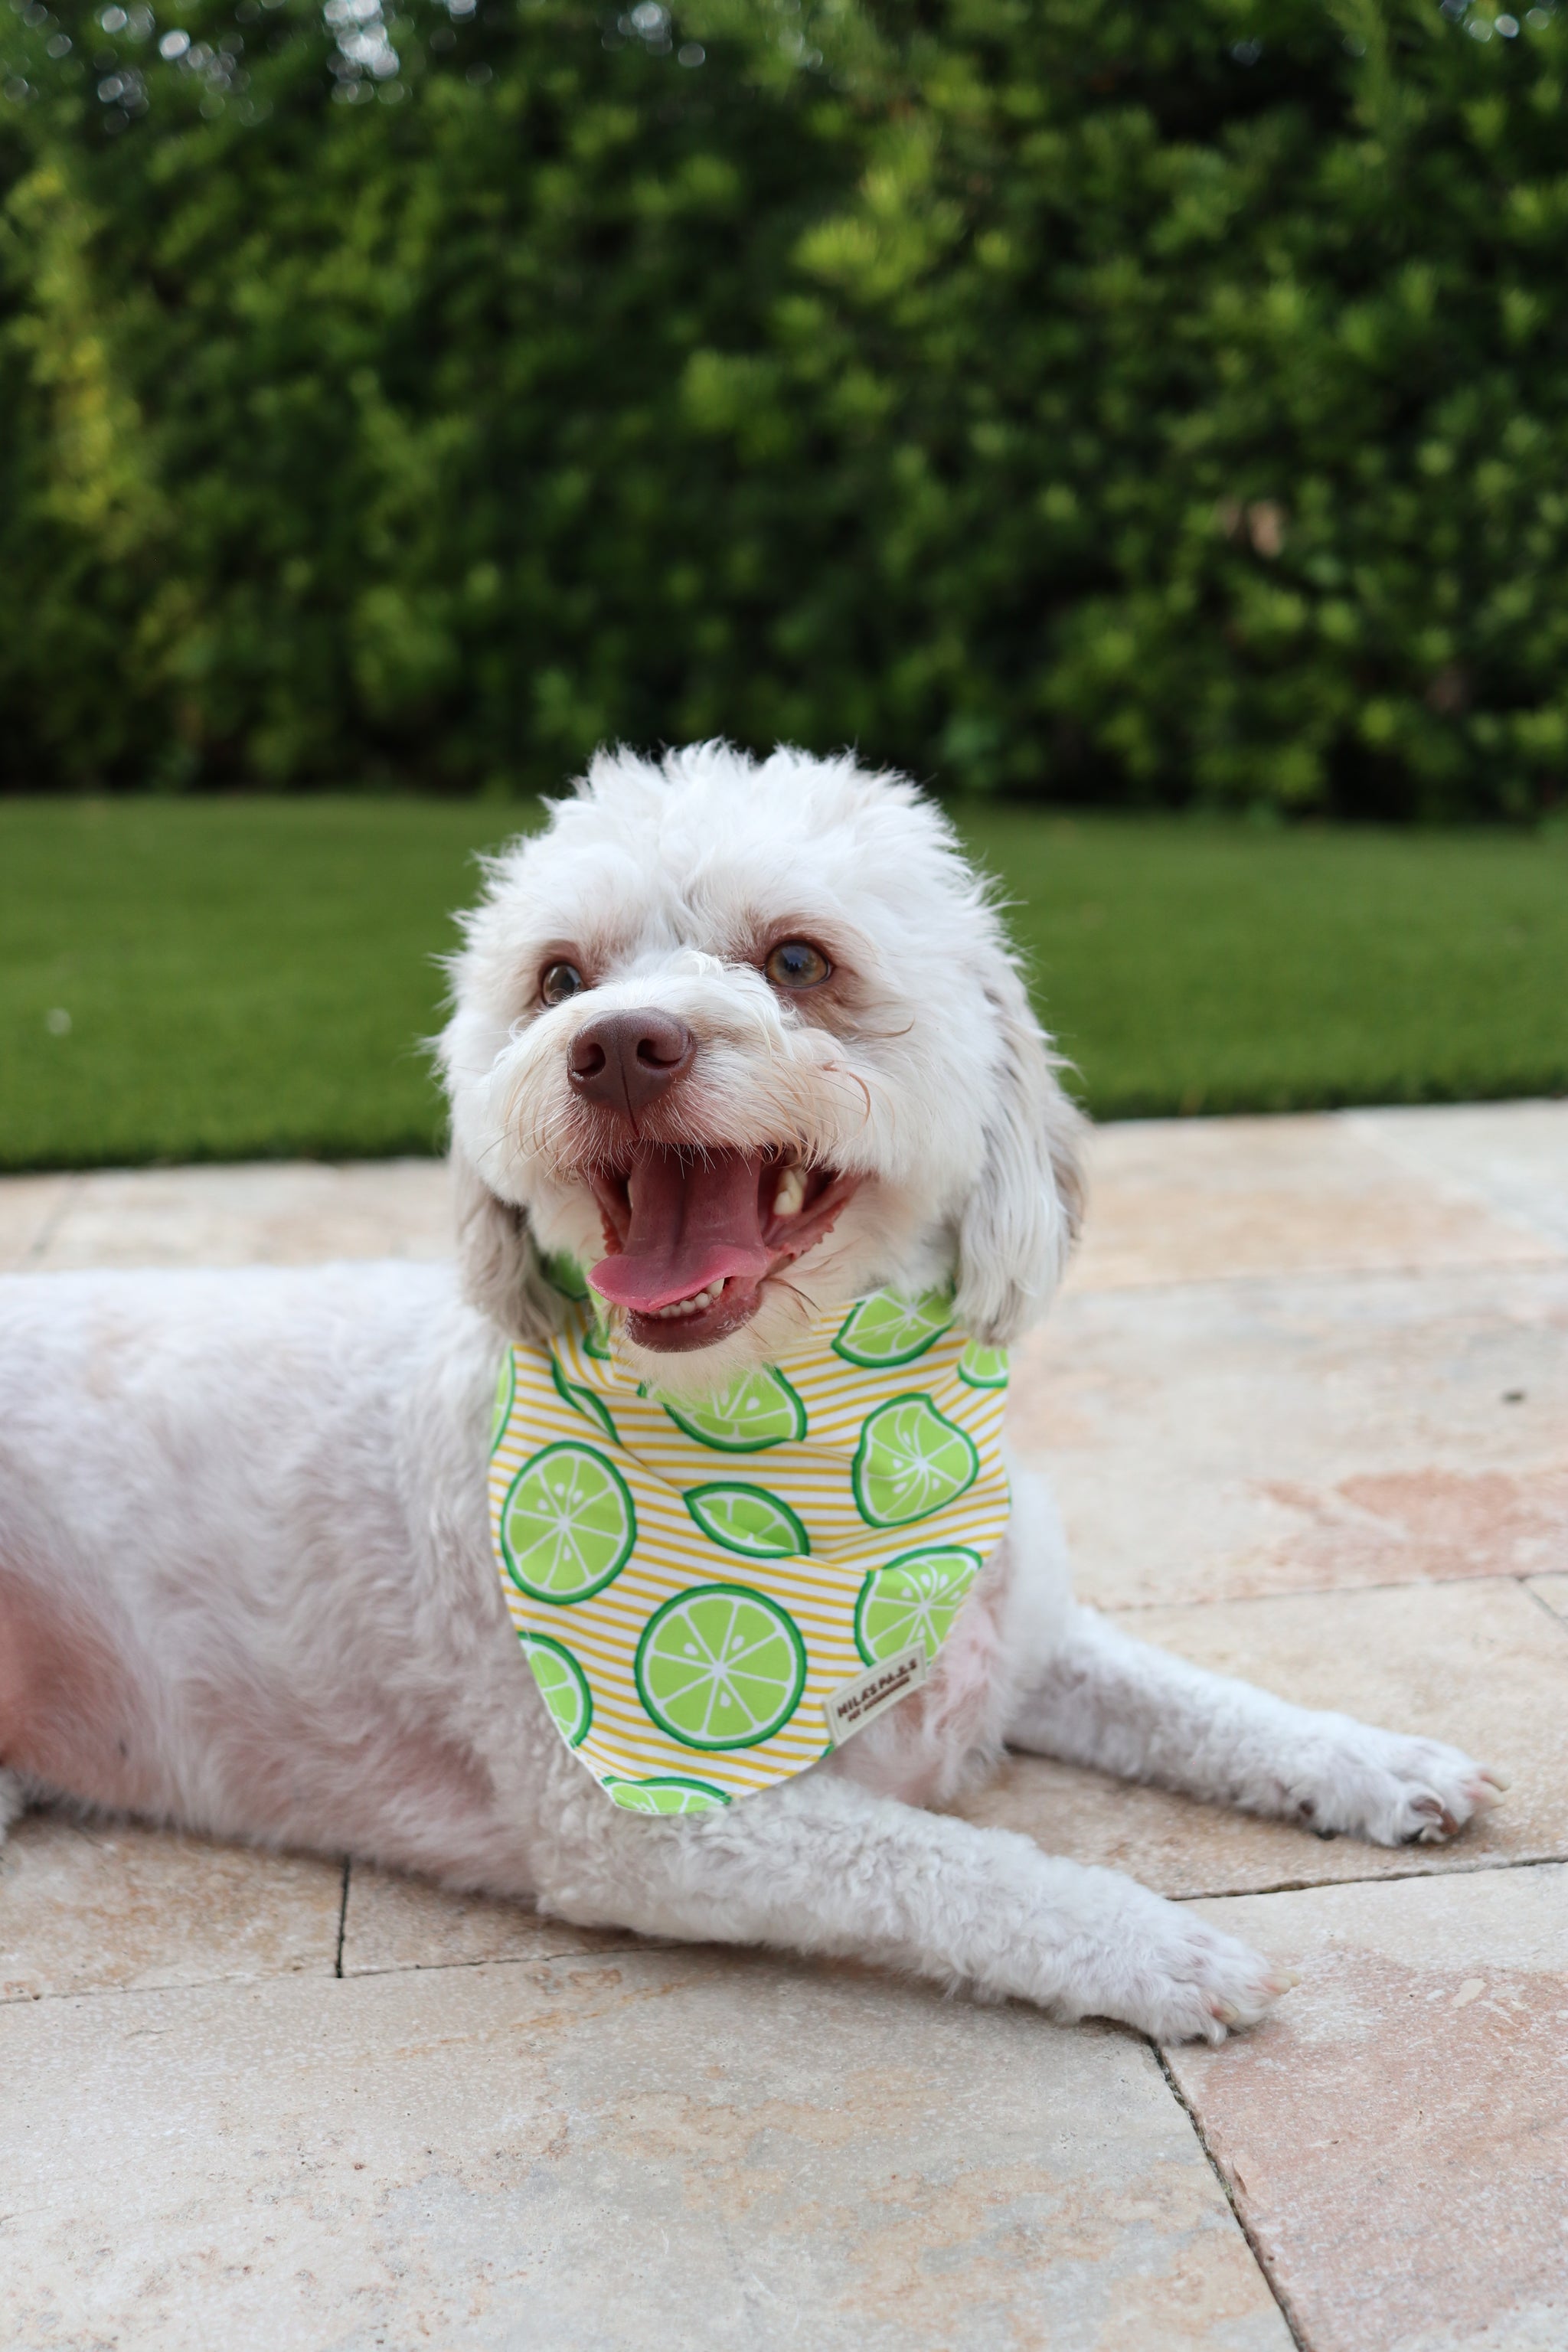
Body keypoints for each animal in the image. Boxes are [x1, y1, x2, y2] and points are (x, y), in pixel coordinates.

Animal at [0, 743, 1504, 2042]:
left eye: (797, 960)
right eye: (558, 977)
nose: (617, 1046)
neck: (798, 1436)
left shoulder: (1014, 1632)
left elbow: (1191, 1696)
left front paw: (1371, 1762)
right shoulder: (648, 1828)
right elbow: (946, 1864)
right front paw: (1148, 1943)